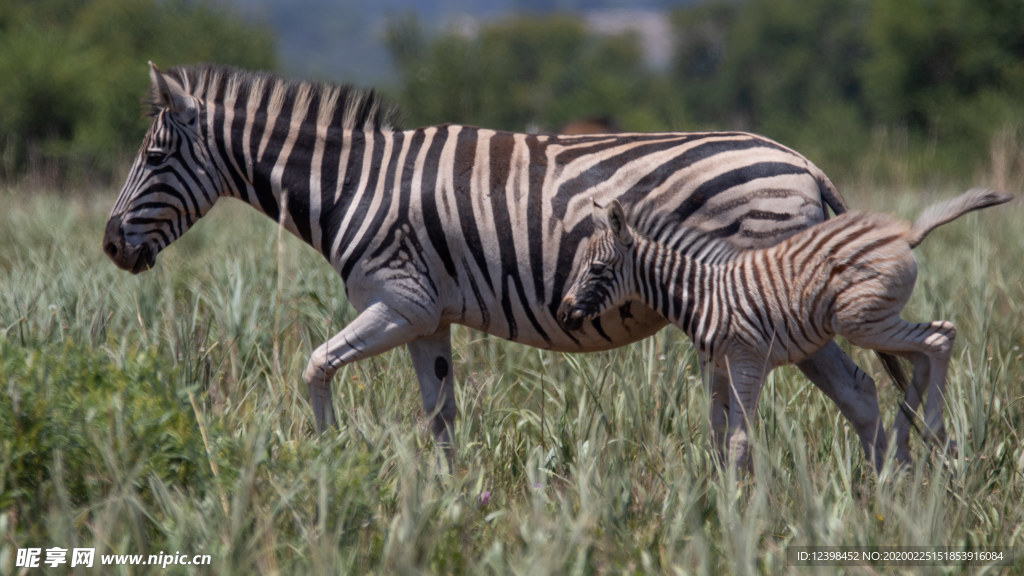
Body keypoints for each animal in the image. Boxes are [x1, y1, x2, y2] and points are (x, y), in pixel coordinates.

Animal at [101, 62, 888, 463]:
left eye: (155, 157)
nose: (109, 244)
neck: (352, 184)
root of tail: (806, 166)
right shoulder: (427, 320)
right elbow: (442, 416)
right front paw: (451, 507)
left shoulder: (400, 302)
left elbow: (315, 366)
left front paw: (329, 464)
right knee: (860, 394)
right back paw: (887, 497)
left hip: (762, 305)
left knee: (847, 394)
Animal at [565, 186, 1011, 463]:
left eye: (598, 269)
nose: (565, 311)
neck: (703, 293)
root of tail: (903, 233)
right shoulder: (716, 363)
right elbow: (717, 432)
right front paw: (716, 493)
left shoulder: (746, 360)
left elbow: (739, 438)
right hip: (875, 318)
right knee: (923, 354)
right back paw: (905, 439)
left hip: (860, 321)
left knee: (940, 336)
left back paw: (931, 429)